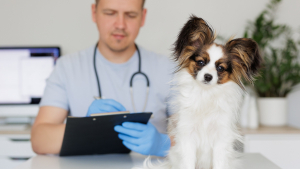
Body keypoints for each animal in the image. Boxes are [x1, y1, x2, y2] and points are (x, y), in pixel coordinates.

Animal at [135, 15, 262, 168]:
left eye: (220, 68)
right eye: (201, 62)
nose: (208, 76)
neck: (205, 93)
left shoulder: (221, 137)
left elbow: (219, 162)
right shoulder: (188, 135)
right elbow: (188, 162)